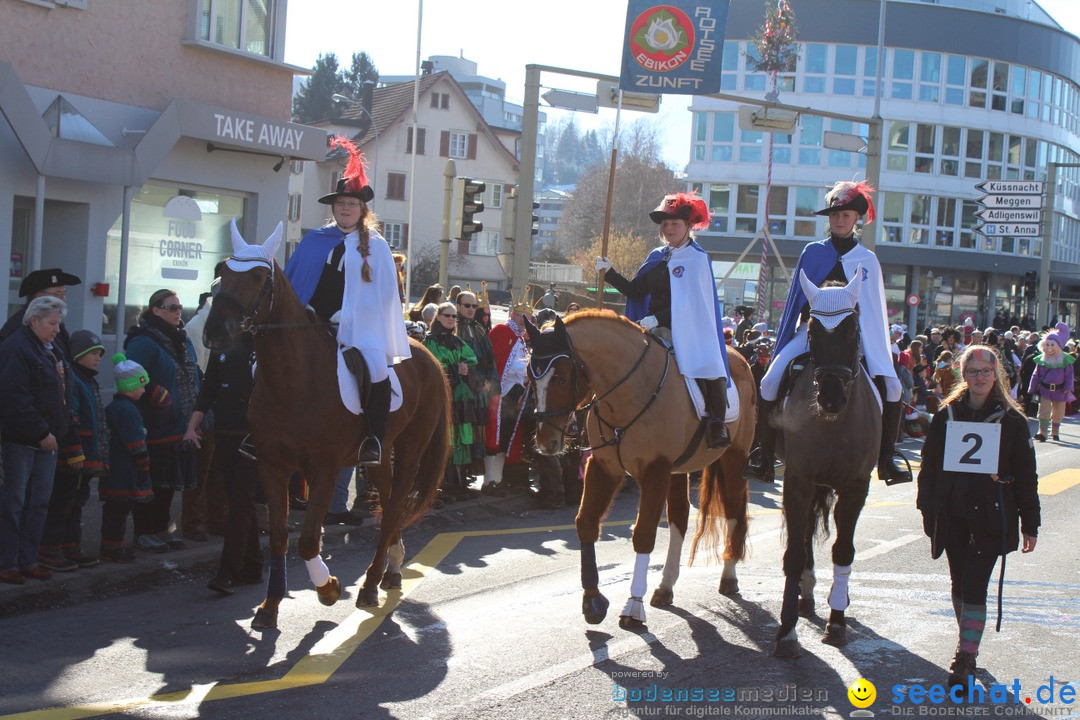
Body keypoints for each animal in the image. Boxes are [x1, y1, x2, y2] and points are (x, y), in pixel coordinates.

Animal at [200, 222, 449, 626]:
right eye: (222, 271)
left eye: (257, 277)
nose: (215, 332)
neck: (293, 379)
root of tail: (428, 355)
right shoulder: (272, 467)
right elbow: (282, 537)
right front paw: (270, 606)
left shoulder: (324, 468)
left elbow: (307, 540)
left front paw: (328, 588)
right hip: (379, 454)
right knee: (389, 501)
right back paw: (392, 567)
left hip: (411, 449)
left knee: (395, 505)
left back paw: (370, 584)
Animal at [527, 313, 756, 626]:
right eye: (530, 376)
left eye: (561, 378)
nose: (546, 442)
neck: (629, 390)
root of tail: (740, 357)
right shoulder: (604, 467)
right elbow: (586, 523)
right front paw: (593, 601)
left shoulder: (654, 472)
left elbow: (644, 535)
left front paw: (633, 605)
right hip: (678, 471)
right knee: (679, 518)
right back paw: (666, 586)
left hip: (733, 459)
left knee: (734, 512)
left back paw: (729, 576)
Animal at [773, 269, 881, 660]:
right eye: (812, 331)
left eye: (853, 329)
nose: (831, 399)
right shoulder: (799, 480)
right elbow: (794, 552)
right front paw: (787, 631)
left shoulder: (856, 486)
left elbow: (844, 550)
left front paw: (837, 623)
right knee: (803, 533)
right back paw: (804, 593)